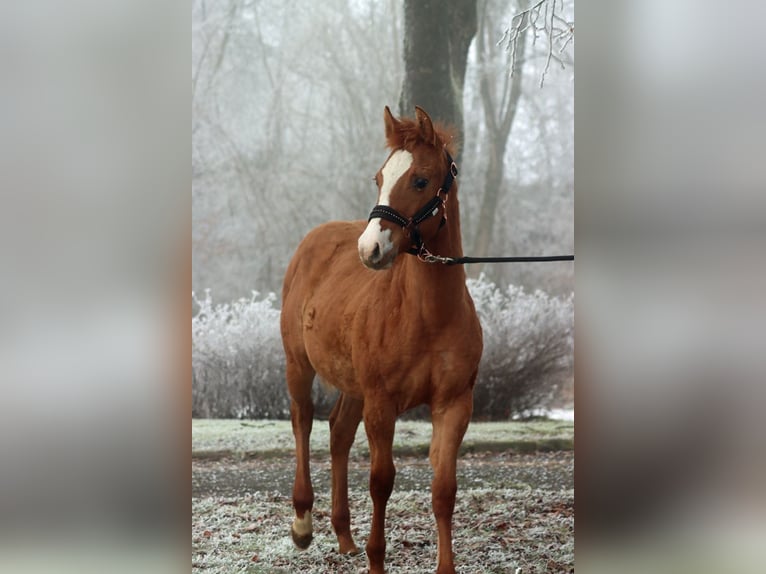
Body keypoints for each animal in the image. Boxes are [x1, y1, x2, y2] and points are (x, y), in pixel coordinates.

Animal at [282, 106, 484, 572]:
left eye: (421, 180)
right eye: (380, 177)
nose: (370, 248)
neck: (427, 316)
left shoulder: (454, 404)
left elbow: (444, 488)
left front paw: (445, 566)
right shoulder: (381, 403)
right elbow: (381, 481)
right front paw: (377, 559)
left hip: (353, 385)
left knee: (338, 432)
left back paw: (344, 536)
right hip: (299, 366)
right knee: (303, 422)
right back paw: (303, 524)